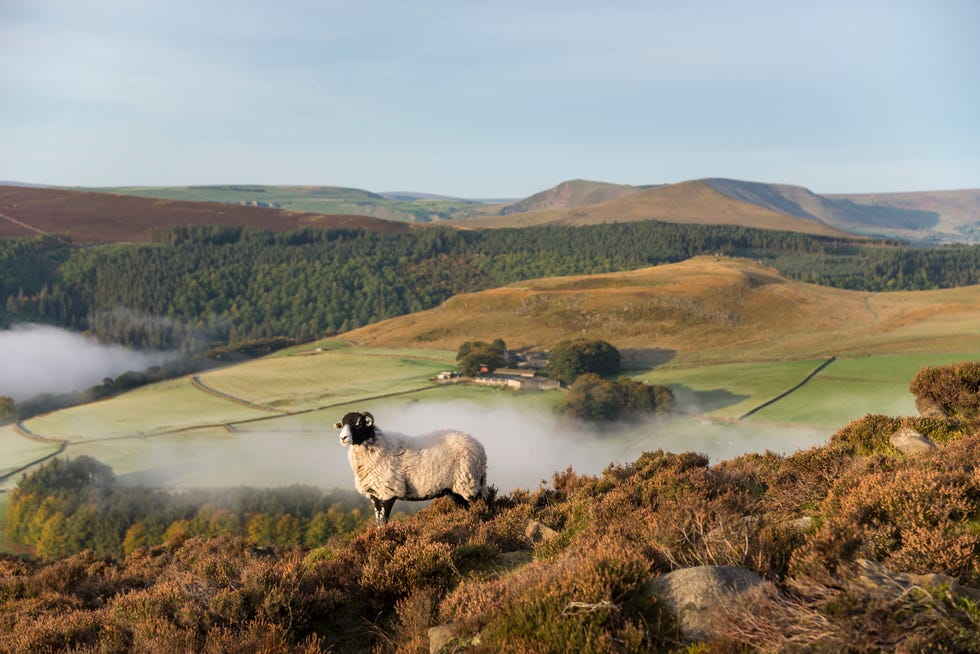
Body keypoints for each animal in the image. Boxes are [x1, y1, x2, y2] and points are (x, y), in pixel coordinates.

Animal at [334, 412, 488, 532]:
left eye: (359, 424)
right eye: (342, 424)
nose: (343, 438)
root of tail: (479, 447)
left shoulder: (388, 492)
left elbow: (384, 521)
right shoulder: (375, 494)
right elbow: (378, 522)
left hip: (469, 481)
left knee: (480, 503)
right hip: (455, 489)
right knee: (465, 506)